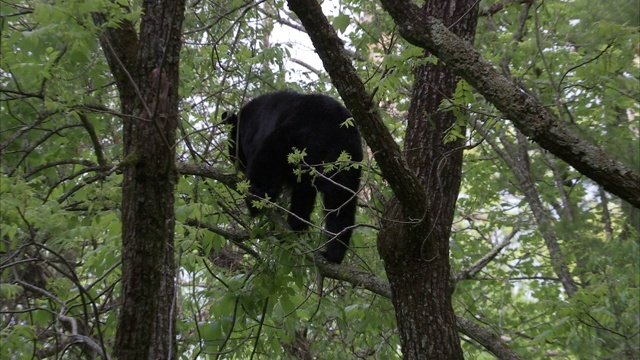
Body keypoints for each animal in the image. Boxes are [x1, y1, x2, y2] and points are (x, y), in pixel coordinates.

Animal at [224, 91, 364, 262]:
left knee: (271, 154)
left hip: (295, 139)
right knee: (340, 204)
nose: (237, 163)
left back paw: (257, 199)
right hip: (348, 162)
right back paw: (331, 252)